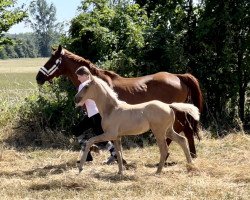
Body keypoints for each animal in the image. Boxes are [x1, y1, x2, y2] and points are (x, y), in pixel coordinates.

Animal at [35, 45, 203, 158]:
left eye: (52, 61)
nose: (38, 77)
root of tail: (178, 76)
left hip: (177, 112)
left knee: (186, 129)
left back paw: (189, 155)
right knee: (177, 130)